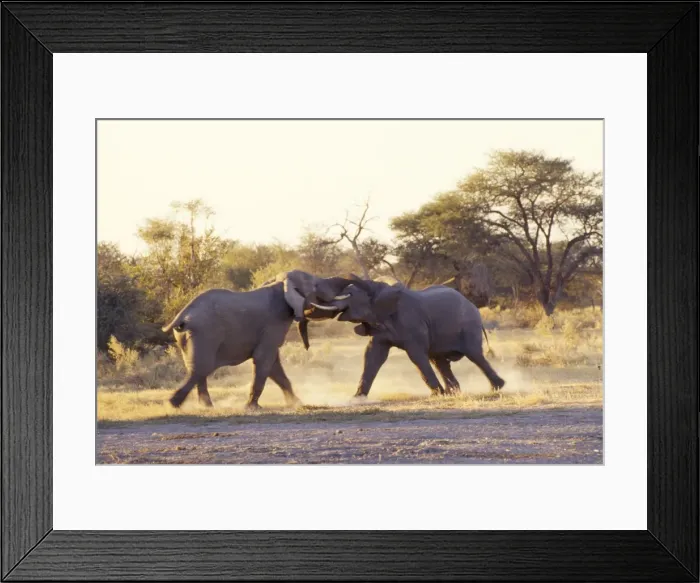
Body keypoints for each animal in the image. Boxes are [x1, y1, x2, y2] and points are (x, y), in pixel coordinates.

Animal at [162, 273, 351, 409]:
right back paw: (174, 404)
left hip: (187, 336)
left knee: (197, 368)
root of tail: (182, 314)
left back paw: (205, 406)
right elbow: (264, 359)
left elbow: (274, 365)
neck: (280, 284)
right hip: (205, 334)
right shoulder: (273, 323)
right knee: (202, 367)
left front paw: (297, 403)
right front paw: (253, 408)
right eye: (316, 285)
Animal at [307, 275, 506, 398]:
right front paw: (356, 398)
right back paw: (454, 393)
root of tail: (472, 305)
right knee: (439, 361)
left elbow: (416, 355)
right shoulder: (379, 326)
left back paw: (497, 388)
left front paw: (437, 395)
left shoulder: (412, 324)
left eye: (349, 295)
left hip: (469, 326)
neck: (378, 288)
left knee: (475, 355)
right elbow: (372, 356)